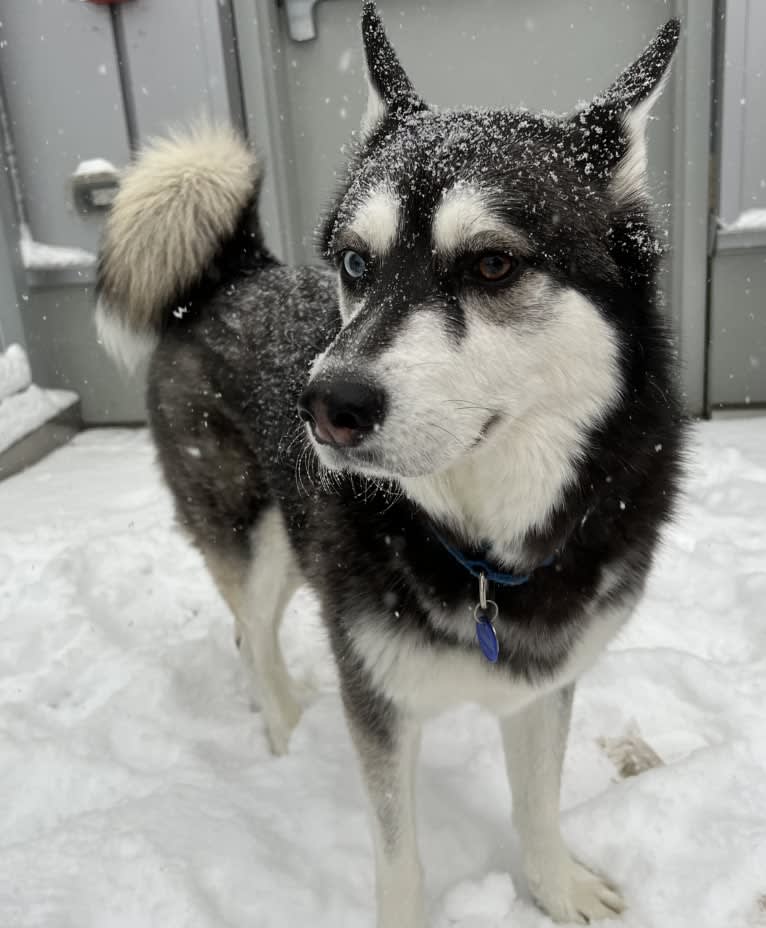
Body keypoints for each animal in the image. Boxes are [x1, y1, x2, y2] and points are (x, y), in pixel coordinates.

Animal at [94, 5, 684, 920]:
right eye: (354, 262)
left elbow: (537, 804)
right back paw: (285, 730)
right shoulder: (375, 694)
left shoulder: (543, 683)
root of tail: (233, 273)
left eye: (492, 263)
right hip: (255, 535)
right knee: (254, 633)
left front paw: (557, 889)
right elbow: (399, 858)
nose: (325, 405)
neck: (480, 550)